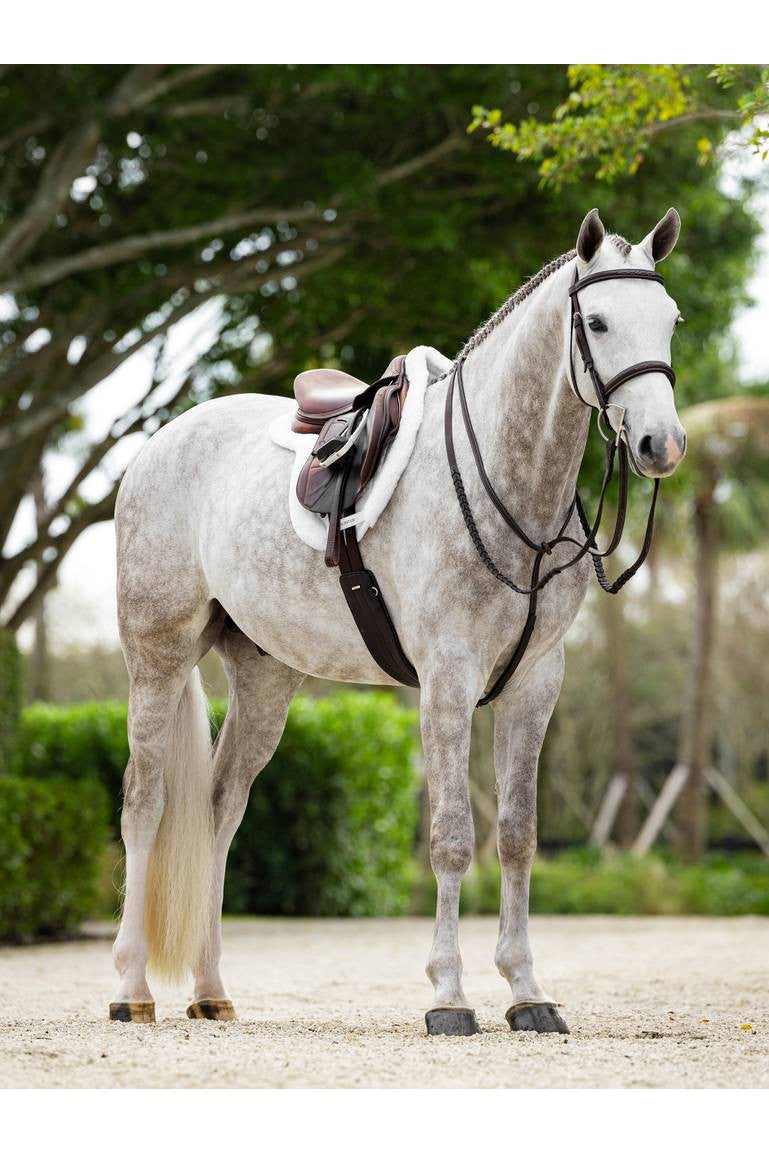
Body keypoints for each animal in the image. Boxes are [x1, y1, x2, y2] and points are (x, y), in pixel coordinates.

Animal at [108, 205, 687, 1037]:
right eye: (597, 321)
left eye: (670, 320)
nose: (659, 444)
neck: (504, 484)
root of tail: (158, 446)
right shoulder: (446, 680)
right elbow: (451, 837)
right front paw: (448, 995)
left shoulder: (533, 684)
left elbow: (517, 836)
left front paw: (526, 991)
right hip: (158, 655)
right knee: (145, 803)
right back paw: (131, 988)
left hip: (265, 677)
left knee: (221, 809)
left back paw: (211, 988)